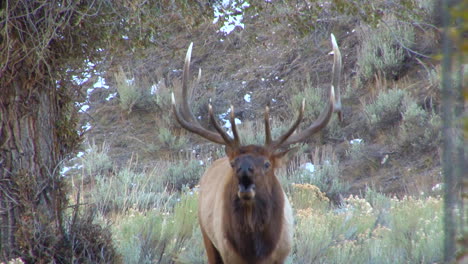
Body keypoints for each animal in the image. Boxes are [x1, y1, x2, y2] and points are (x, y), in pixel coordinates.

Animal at [170, 34, 342, 262]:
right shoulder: (229, 254)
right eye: (234, 163)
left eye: (267, 164)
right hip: (207, 236)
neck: (255, 251)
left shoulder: (282, 254)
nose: (245, 171)